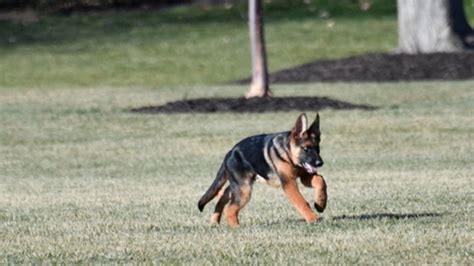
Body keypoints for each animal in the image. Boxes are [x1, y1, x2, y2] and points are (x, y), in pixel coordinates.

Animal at [196, 112, 326, 227]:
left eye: (318, 148)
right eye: (306, 148)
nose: (320, 163)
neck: (288, 154)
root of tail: (230, 153)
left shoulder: (305, 175)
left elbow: (320, 180)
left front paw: (320, 203)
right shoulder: (288, 182)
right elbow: (301, 201)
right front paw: (312, 218)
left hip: (239, 186)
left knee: (222, 195)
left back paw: (214, 222)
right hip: (244, 189)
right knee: (230, 208)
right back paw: (236, 227)